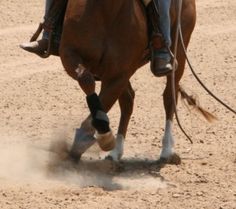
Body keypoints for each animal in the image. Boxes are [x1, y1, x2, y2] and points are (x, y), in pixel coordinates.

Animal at [59, 0, 197, 163]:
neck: (105, 11)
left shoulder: (119, 74)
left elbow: (105, 100)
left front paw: (92, 139)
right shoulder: (69, 54)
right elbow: (86, 79)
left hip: (180, 51)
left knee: (169, 96)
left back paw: (167, 150)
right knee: (128, 100)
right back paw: (116, 152)